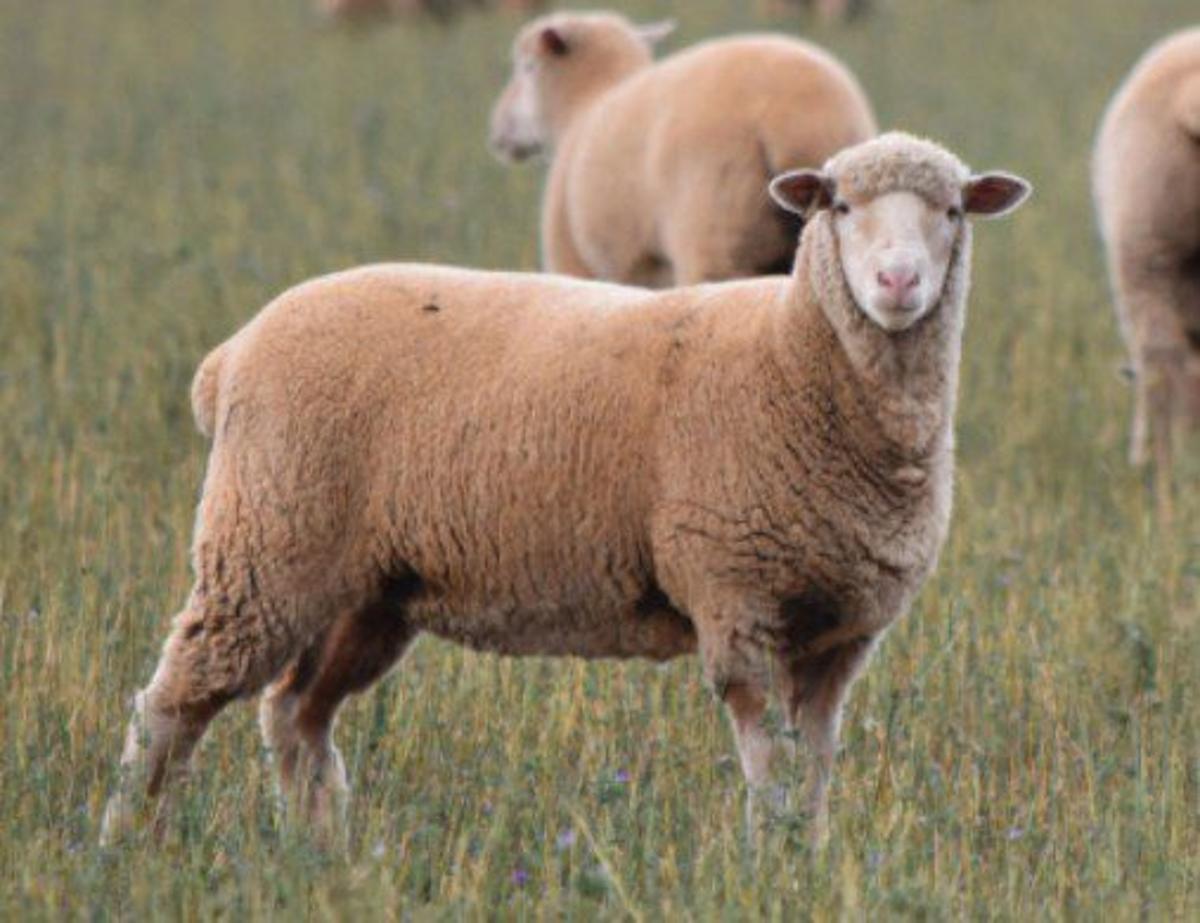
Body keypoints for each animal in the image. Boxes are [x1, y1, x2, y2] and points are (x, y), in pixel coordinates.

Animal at [100, 133, 1029, 846]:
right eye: (837, 205)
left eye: (953, 211)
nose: (899, 283)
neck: (790, 357)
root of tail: (229, 357)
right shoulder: (737, 596)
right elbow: (768, 758)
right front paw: (769, 856)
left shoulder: (840, 630)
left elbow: (817, 764)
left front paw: (811, 854)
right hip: (266, 542)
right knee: (174, 701)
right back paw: (130, 840)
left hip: (364, 588)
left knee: (296, 715)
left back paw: (324, 852)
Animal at [489, 12, 877, 287]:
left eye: (527, 67)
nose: (497, 134)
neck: (583, 105)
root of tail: (797, 122)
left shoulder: (571, 257)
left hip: (715, 230)